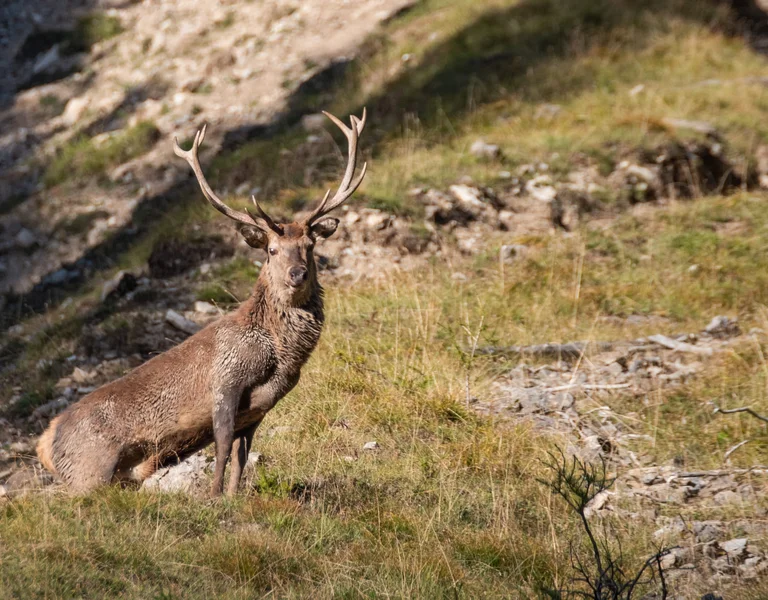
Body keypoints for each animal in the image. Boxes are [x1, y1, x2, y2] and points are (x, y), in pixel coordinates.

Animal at [37, 109, 367, 496]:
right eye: (272, 250)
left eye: (310, 246)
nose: (297, 274)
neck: (279, 353)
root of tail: (44, 442)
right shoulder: (226, 380)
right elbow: (222, 447)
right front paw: (214, 495)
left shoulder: (257, 411)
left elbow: (241, 456)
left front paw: (234, 495)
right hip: (89, 472)